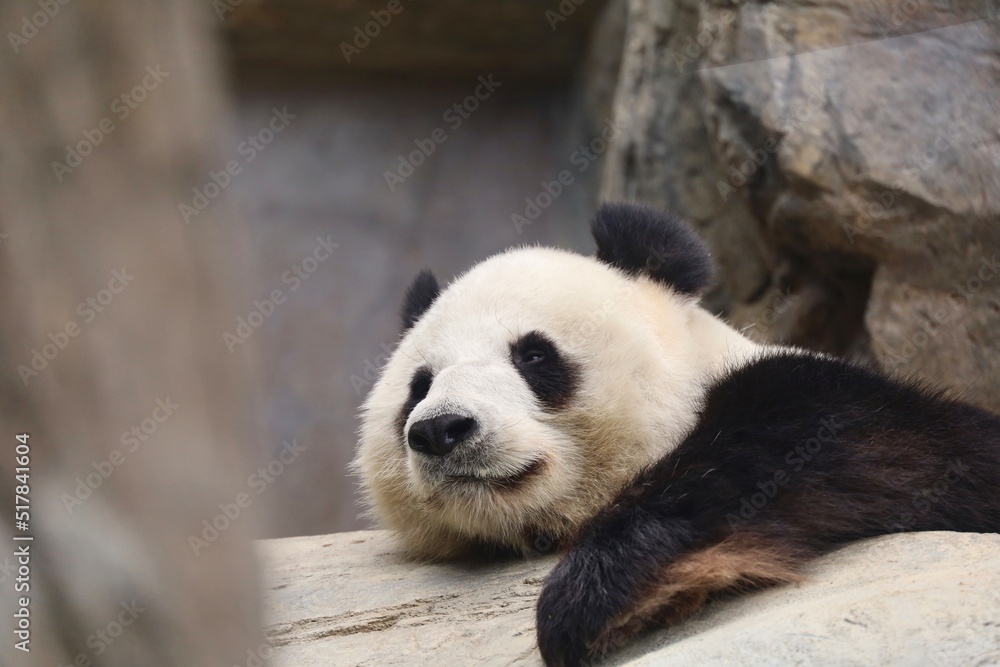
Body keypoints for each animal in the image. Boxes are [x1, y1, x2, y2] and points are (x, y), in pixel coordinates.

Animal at [354, 202, 1000, 667]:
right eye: (419, 385)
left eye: (534, 356)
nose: (441, 429)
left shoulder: (848, 413)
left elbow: (800, 446)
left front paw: (595, 596)